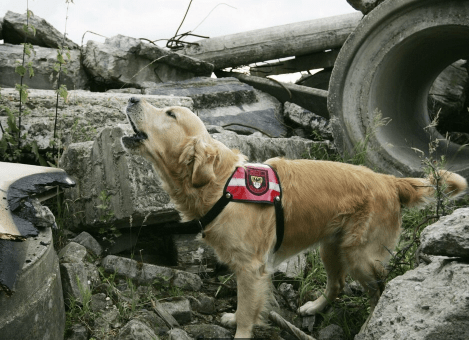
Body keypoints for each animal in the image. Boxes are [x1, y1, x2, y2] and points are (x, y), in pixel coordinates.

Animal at [122, 97, 466, 338]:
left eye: (170, 114)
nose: (131, 99)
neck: (221, 186)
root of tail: (389, 180)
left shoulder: (251, 267)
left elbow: (247, 311)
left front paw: (240, 329)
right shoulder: (247, 266)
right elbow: (245, 305)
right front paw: (234, 316)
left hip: (362, 255)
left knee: (379, 292)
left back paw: (370, 325)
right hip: (331, 246)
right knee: (337, 285)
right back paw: (314, 307)